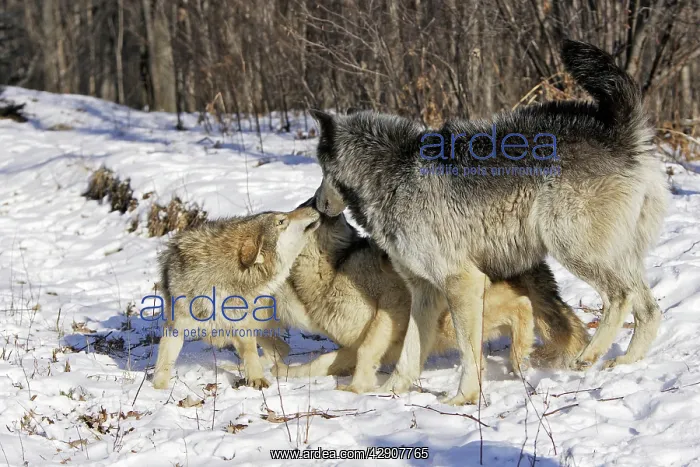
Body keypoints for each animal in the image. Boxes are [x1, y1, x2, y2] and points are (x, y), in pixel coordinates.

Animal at [152, 206, 320, 390]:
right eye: (281, 221)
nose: (312, 207)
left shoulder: (242, 328)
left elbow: (250, 354)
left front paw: (257, 379)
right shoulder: (175, 327)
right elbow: (163, 365)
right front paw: (158, 390)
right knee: (283, 348)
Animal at [272, 199, 589, 393]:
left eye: (301, 209)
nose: (319, 203)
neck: (332, 270)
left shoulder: (393, 303)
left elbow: (366, 352)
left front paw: (357, 389)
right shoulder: (359, 343)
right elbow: (320, 362)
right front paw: (284, 373)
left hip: (450, 316)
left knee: (523, 307)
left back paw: (520, 358)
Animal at [311, 40, 668, 405]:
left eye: (321, 167)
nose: (317, 205)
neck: (391, 173)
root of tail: (621, 134)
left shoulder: (462, 282)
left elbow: (469, 352)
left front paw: (463, 398)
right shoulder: (425, 291)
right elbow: (409, 354)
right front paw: (388, 394)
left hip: (572, 248)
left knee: (620, 297)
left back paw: (589, 356)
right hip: (613, 256)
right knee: (650, 310)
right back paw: (625, 362)